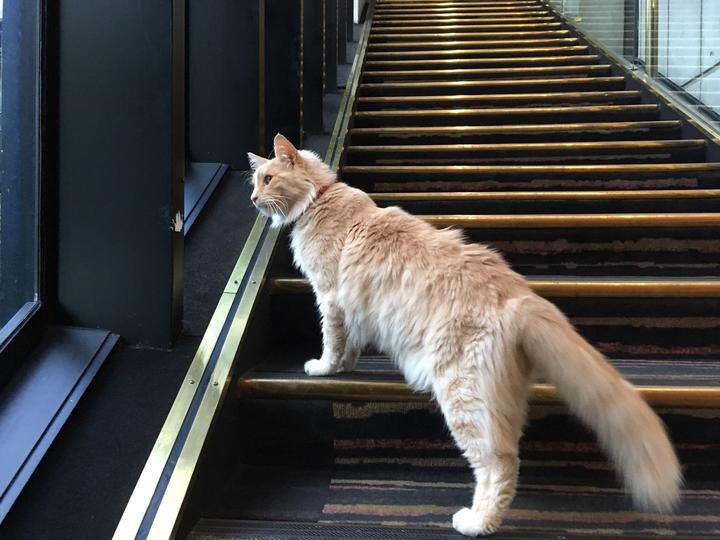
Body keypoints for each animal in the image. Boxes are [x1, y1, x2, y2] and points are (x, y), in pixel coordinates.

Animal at [248, 133, 681, 537]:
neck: (320, 198)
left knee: (499, 463)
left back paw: (477, 521)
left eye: (268, 179)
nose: (252, 199)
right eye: (254, 181)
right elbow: (351, 341)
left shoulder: (330, 296)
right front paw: (346, 366)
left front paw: (324, 367)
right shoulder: (352, 307)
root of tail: (520, 297)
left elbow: (332, 339)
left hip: (463, 394)